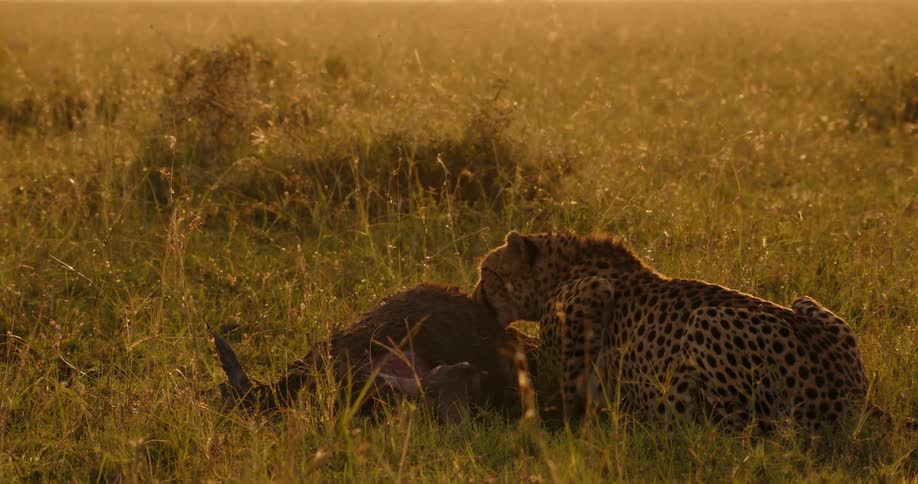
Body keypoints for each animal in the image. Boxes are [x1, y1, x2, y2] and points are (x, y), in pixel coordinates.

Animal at [473, 231, 904, 433]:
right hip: (804, 304)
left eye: (487, 270)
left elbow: (557, 376)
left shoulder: (592, 293)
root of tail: (854, 397)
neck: (562, 269)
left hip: (706, 323)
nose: (475, 295)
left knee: (747, 433)